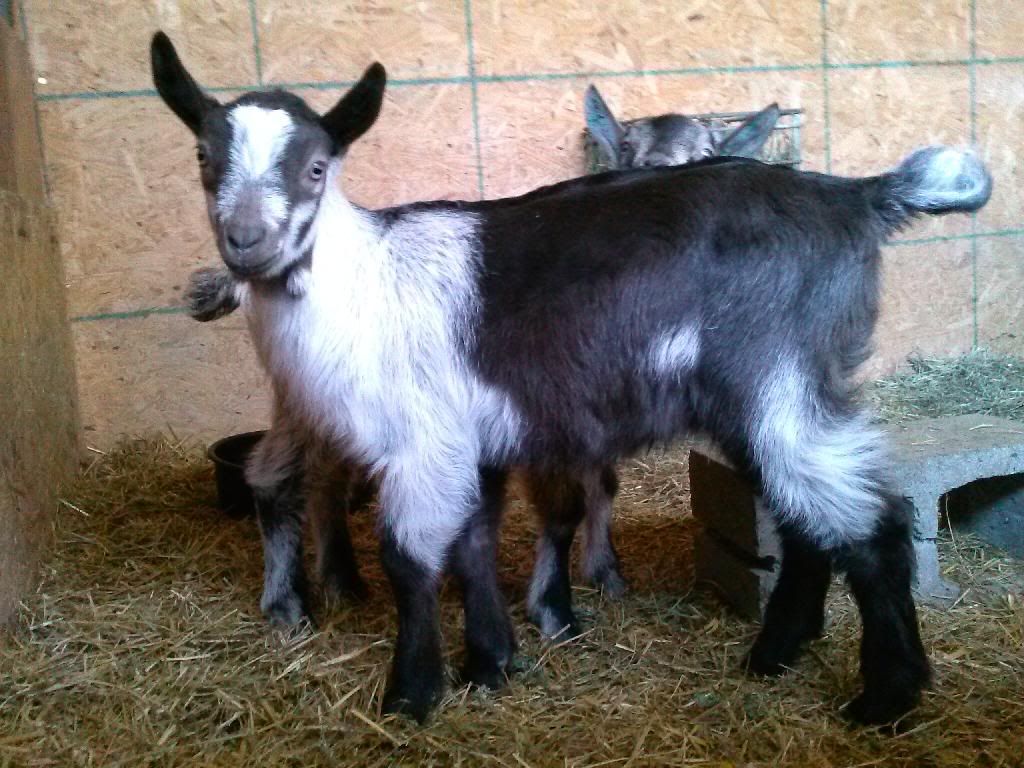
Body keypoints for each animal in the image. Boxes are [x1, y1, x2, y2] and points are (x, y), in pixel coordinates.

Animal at [182, 85, 781, 633]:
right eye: (627, 148)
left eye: (707, 150)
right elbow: (563, 503)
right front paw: (553, 606)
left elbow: (601, 484)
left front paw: (604, 571)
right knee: (282, 476)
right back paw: (302, 595)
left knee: (320, 473)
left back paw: (340, 580)